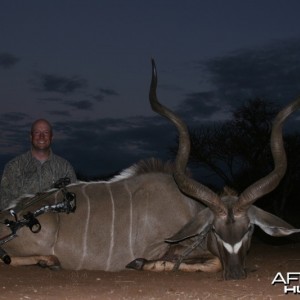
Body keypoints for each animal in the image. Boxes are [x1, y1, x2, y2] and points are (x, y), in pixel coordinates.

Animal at [0, 61, 298, 282]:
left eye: (249, 229)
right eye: (214, 229)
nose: (236, 273)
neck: (188, 208)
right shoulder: (160, 247)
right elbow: (205, 261)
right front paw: (141, 263)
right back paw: (47, 260)